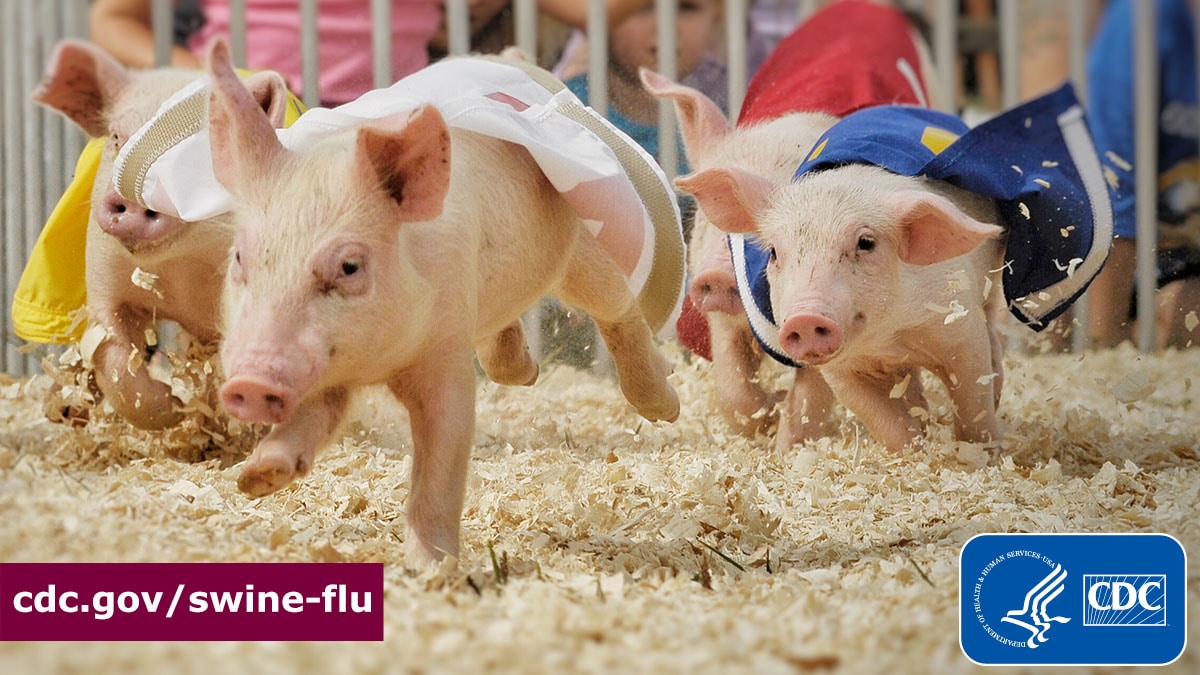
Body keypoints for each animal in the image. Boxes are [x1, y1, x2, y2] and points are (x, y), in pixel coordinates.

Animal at [29, 42, 291, 427]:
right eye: (116, 137)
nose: (133, 196)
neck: (179, 272)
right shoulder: (104, 274)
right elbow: (115, 358)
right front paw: (174, 407)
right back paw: (62, 409)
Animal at [201, 42, 681, 564]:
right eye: (240, 258)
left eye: (349, 266)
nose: (249, 381)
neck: (382, 365)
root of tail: (512, 57)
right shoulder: (323, 368)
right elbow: (314, 418)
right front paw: (256, 477)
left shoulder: (447, 344)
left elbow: (443, 451)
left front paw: (431, 567)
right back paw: (528, 373)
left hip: (584, 246)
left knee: (618, 309)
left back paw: (666, 407)